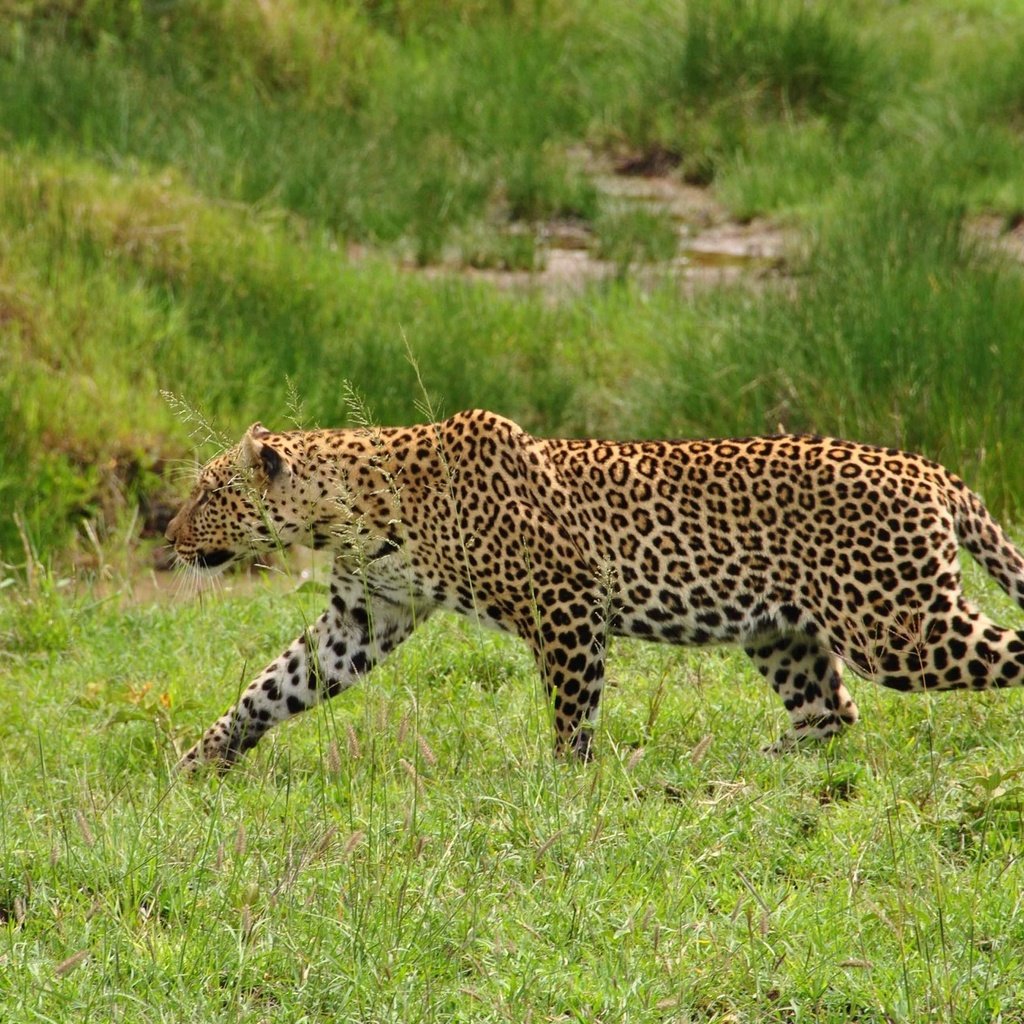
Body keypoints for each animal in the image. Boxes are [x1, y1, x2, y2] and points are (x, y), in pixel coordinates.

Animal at [167, 405, 1024, 770]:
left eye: (207, 493)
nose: (168, 539)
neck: (348, 510)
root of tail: (932, 470)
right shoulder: (364, 615)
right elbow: (275, 685)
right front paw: (203, 760)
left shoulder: (566, 602)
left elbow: (571, 708)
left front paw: (566, 784)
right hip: (780, 630)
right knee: (830, 712)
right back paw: (747, 766)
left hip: (898, 626)